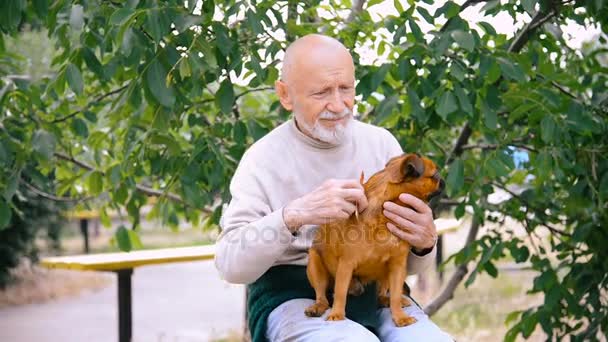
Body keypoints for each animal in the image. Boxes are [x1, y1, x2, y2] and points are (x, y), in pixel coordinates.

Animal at [306, 154, 444, 328]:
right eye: (435, 175)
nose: (443, 181)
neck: (384, 215)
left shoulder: (397, 266)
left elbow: (395, 295)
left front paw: (400, 316)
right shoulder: (346, 265)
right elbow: (340, 293)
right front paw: (337, 314)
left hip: (386, 275)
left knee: (383, 293)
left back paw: (388, 300)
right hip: (315, 265)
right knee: (322, 294)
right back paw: (318, 307)